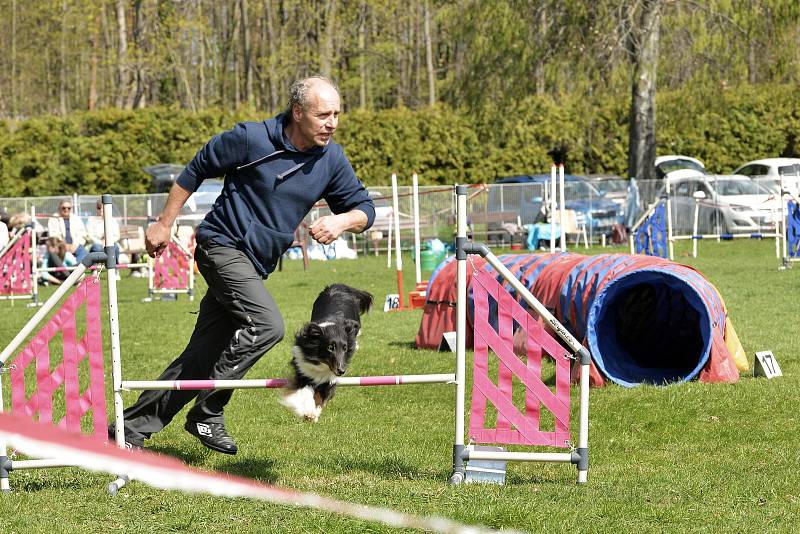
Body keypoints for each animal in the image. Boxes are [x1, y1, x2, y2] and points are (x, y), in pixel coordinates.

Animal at [280, 284, 374, 422]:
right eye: (330, 348)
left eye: (345, 348)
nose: (342, 371)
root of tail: (339, 285)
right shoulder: (302, 370)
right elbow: (305, 391)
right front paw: (307, 411)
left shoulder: (330, 378)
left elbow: (321, 395)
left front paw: (313, 414)